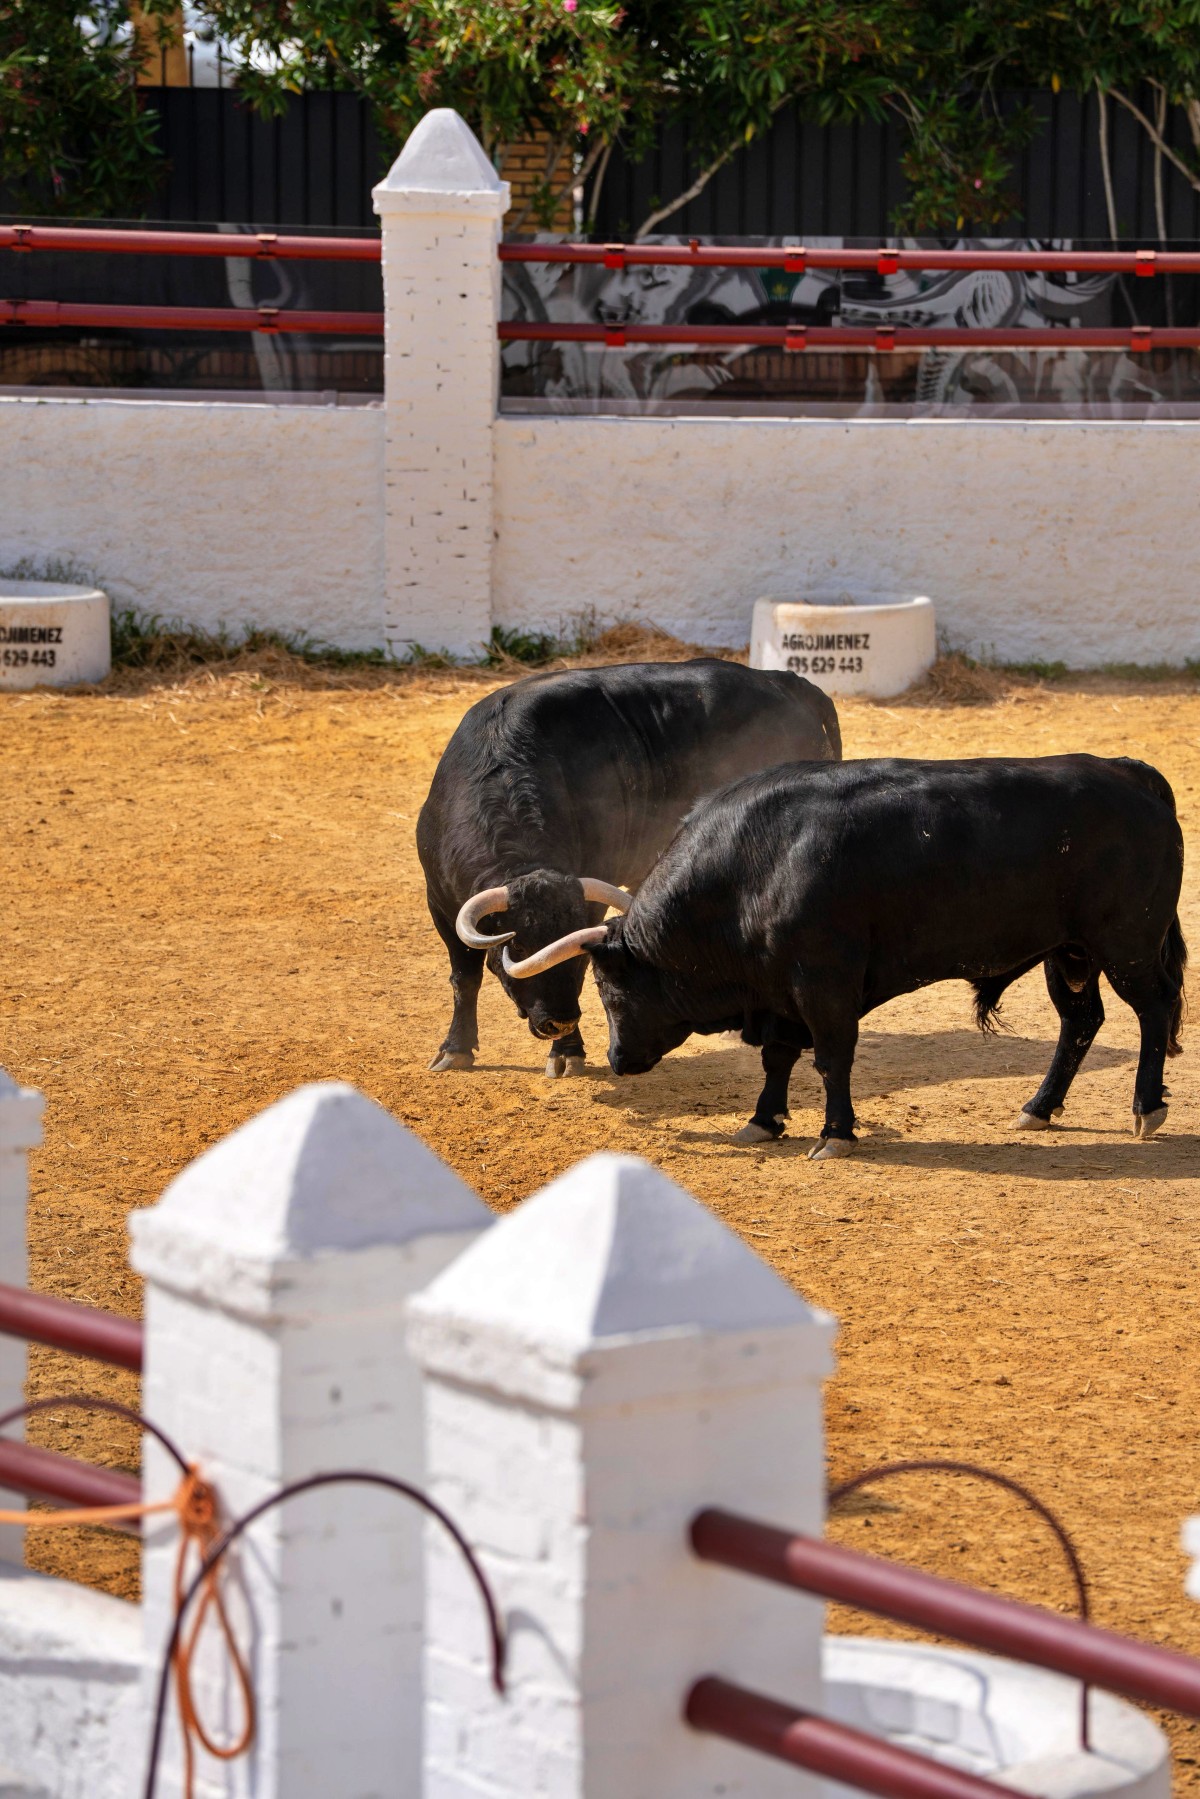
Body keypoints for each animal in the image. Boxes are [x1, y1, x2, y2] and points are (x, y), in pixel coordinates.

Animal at [417, 659, 841, 1076]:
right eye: (518, 945)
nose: (560, 1022)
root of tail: (784, 681)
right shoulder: (440, 904)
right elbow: (464, 978)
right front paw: (455, 1049)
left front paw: (566, 1052)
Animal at [498, 755, 1187, 1151]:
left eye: (607, 988)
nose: (617, 1061)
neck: (754, 869)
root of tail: (1131, 774)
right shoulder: (778, 993)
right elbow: (777, 1058)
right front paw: (764, 1121)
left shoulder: (822, 984)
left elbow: (831, 1059)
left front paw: (834, 1133)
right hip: (1068, 953)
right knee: (1081, 1022)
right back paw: (1038, 1109)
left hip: (1125, 945)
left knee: (1154, 1011)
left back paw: (1147, 1108)